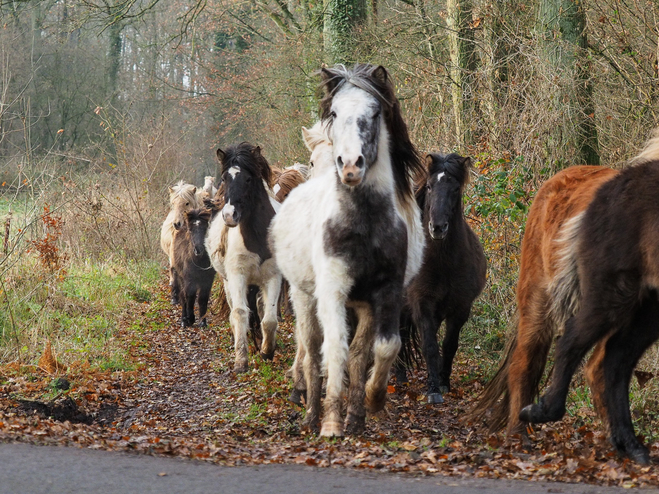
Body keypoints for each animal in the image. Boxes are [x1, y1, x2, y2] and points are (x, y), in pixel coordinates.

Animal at [204, 143, 282, 374]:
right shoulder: (237, 276)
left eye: (248, 179)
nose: (229, 215)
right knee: (235, 311)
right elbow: (239, 313)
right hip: (228, 281)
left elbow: (269, 319)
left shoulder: (273, 277)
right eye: (224, 178)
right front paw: (241, 360)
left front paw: (267, 351)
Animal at [270, 62, 426, 436]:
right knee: (312, 349)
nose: (351, 165)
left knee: (355, 353)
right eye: (336, 112)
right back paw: (311, 412)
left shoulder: (385, 292)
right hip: (303, 296)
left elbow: (381, 348)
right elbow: (335, 349)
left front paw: (369, 403)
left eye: (375, 112)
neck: (363, 223)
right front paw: (330, 422)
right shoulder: (332, 290)